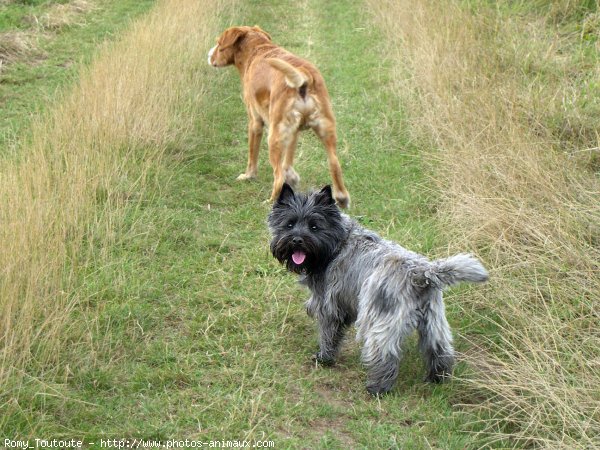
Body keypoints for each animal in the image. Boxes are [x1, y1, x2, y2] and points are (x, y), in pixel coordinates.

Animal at [210, 25, 352, 207]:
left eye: (219, 43)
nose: (210, 55)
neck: (257, 49)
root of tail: (304, 77)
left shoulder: (255, 122)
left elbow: (252, 155)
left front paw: (248, 176)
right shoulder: (293, 131)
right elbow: (289, 159)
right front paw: (292, 176)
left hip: (273, 137)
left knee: (278, 176)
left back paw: (272, 201)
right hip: (326, 131)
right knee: (334, 164)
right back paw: (341, 197)